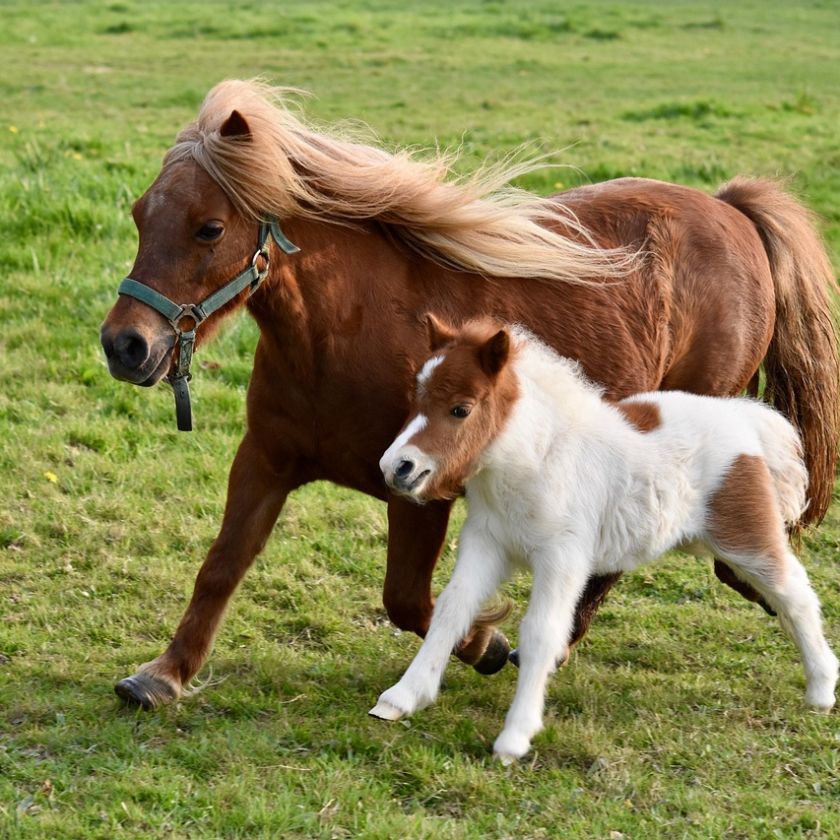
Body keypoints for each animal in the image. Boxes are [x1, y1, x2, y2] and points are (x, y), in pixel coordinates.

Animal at [99, 79, 839, 711]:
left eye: (209, 228)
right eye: (139, 215)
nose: (124, 345)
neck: (341, 335)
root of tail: (731, 210)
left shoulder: (420, 489)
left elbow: (409, 600)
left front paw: (486, 642)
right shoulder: (265, 460)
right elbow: (222, 566)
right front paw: (163, 674)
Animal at [374, 315, 838, 763]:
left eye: (460, 409)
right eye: (416, 399)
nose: (396, 466)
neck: (536, 460)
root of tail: (743, 417)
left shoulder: (562, 558)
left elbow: (542, 631)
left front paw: (514, 739)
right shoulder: (487, 544)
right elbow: (452, 609)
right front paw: (401, 698)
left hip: (745, 538)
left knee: (794, 594)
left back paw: (821, 688)